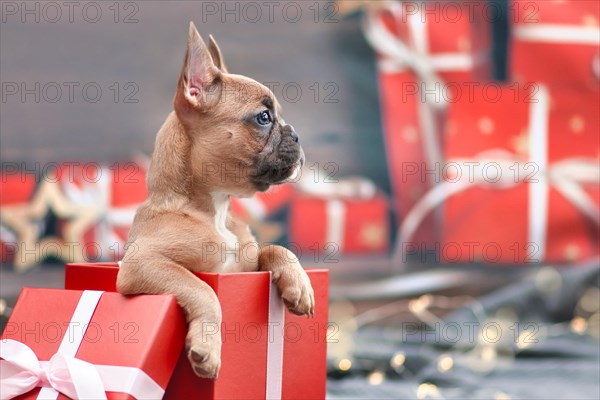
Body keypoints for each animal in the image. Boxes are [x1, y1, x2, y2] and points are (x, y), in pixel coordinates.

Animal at [115, 21, 316, 378]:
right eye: (264, 118)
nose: (296, 134)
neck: (214, 210)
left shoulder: (246, 268)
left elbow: (275, 249)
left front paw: (299, 283)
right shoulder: (143, 264)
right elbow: (201, 287)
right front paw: (207, 346)